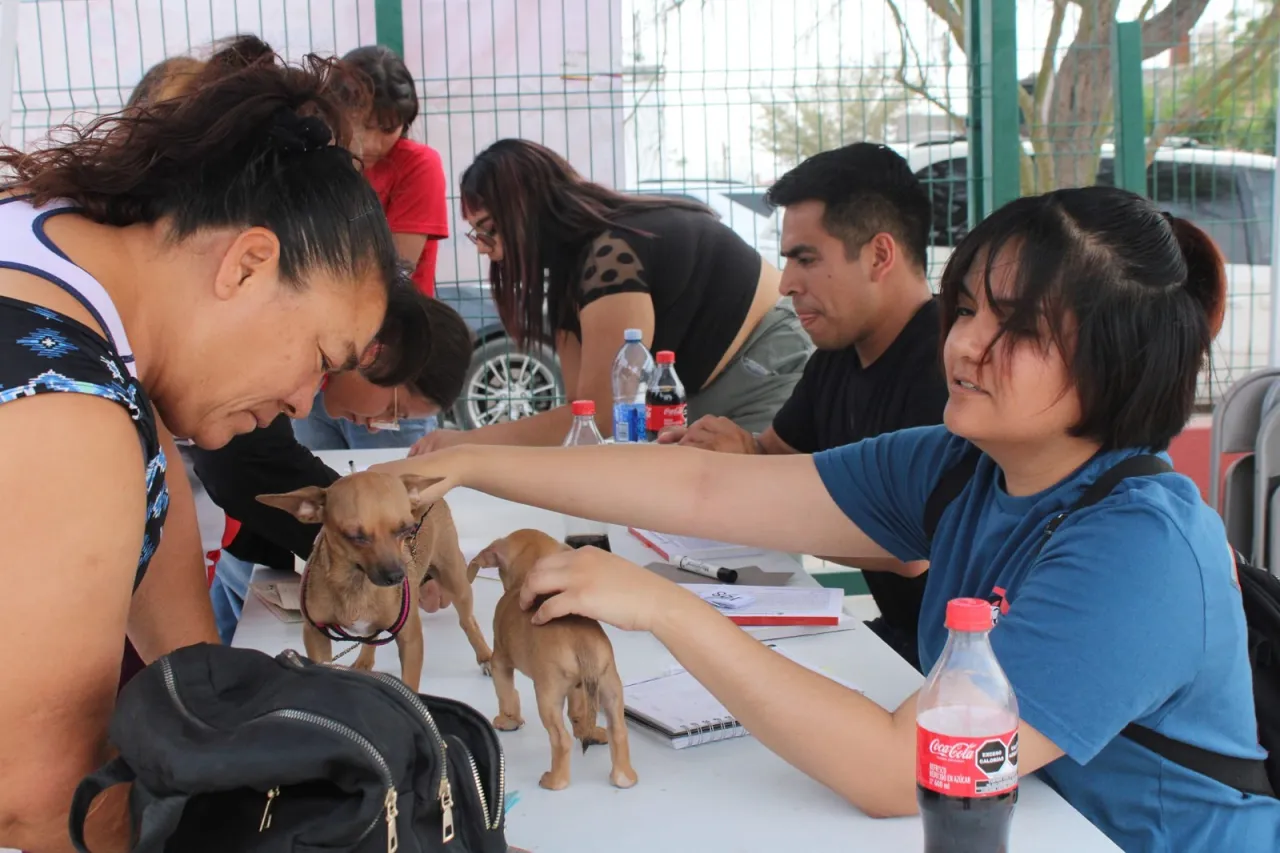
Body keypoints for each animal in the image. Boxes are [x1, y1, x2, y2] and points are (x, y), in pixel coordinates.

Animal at [259, 471, 494, 691]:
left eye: (407, 530)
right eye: (355, 537)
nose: (397, 576)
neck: (357, 584)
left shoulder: (410, 639)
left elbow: (409, 684)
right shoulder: (315, 635)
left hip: (456, 583)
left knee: (468, 621)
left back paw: (485, 656)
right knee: (371, 637)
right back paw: (364, 662)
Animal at [468, 525, 637, 788]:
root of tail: (582, 640)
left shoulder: (500, 662)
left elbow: (507, 695)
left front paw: (508, 721)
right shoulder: (577, 687)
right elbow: (578, 713)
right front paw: (584, 730)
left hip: (547, 696)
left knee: (561, 739)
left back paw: (555, 780)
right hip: (609, 686)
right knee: (618, 731)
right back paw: (623, 776)